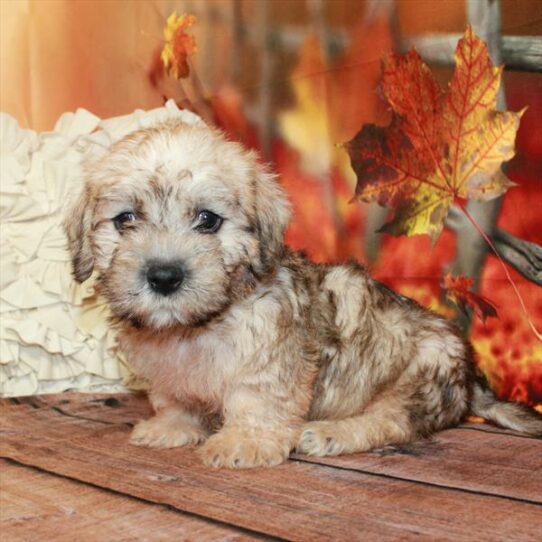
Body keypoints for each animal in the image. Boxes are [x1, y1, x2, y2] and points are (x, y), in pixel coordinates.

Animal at [65, 121, 542, 470]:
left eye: (208, 220)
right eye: (125, 219)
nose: (164, 276)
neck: (195, 325)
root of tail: (471, 380)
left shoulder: (270, 363)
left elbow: (256, 402)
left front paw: (243, 442)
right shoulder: (168, 374)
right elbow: (174, 398)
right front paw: (170, 426)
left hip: (419, 374)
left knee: (389, 422)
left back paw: (332, 433)